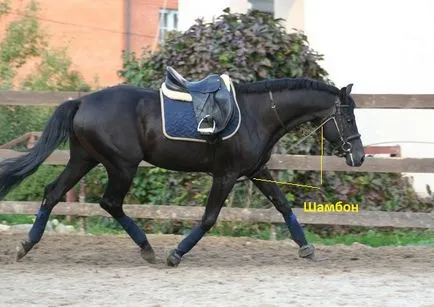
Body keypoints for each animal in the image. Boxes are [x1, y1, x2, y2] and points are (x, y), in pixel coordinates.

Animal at [0, 75, 366, 268]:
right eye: (347, 117)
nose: (359, 156)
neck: (257, 114)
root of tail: (82, 101)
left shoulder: (256, 170)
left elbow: (283, 205)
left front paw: (306, 247)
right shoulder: (226, 175)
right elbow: (208, 218)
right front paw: (176, 253)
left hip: (84, 159)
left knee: (53, 193)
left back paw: (26, 245)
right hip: (121, 165)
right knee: (110, 203)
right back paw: (147, 248)